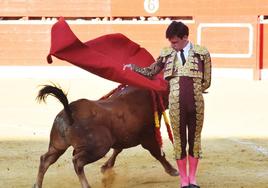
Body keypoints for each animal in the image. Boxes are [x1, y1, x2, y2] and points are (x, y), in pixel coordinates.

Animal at [33, 85, 178, 188]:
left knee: (45, 160)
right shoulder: (148, 137)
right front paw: (172, 170)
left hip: (57, 145)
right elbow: (158, 154)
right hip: (99, 148)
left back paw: (37, 185)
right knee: (77, 162)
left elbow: (117, 150)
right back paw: (86, 186)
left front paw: (106, 167)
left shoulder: (122, 137)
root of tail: (70, 111)